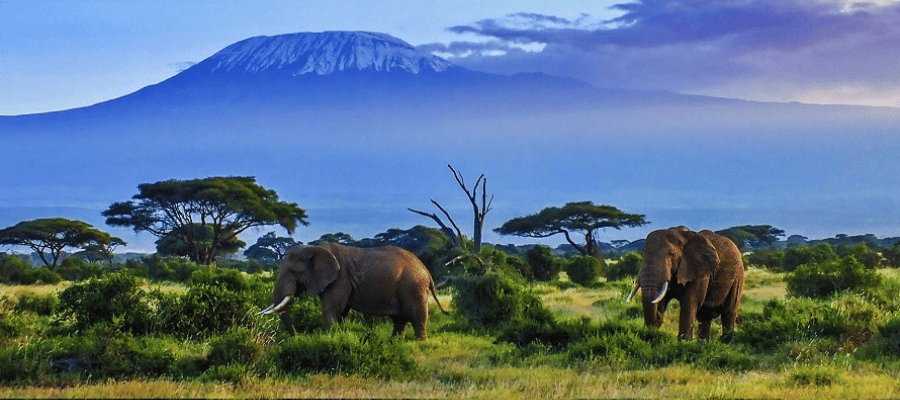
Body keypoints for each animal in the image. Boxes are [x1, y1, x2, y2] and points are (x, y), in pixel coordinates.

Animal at [256, 242, 446, 340]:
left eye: (292, 272)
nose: (296, 336)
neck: (313, 248)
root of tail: (426, 269)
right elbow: (343, 312)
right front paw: (340, 335)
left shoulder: (339, 280)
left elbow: (332, 309)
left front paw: (326, 338)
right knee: (399, 319)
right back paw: (394, 343)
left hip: (414, 287)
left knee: (417, 316)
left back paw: (420, 343)